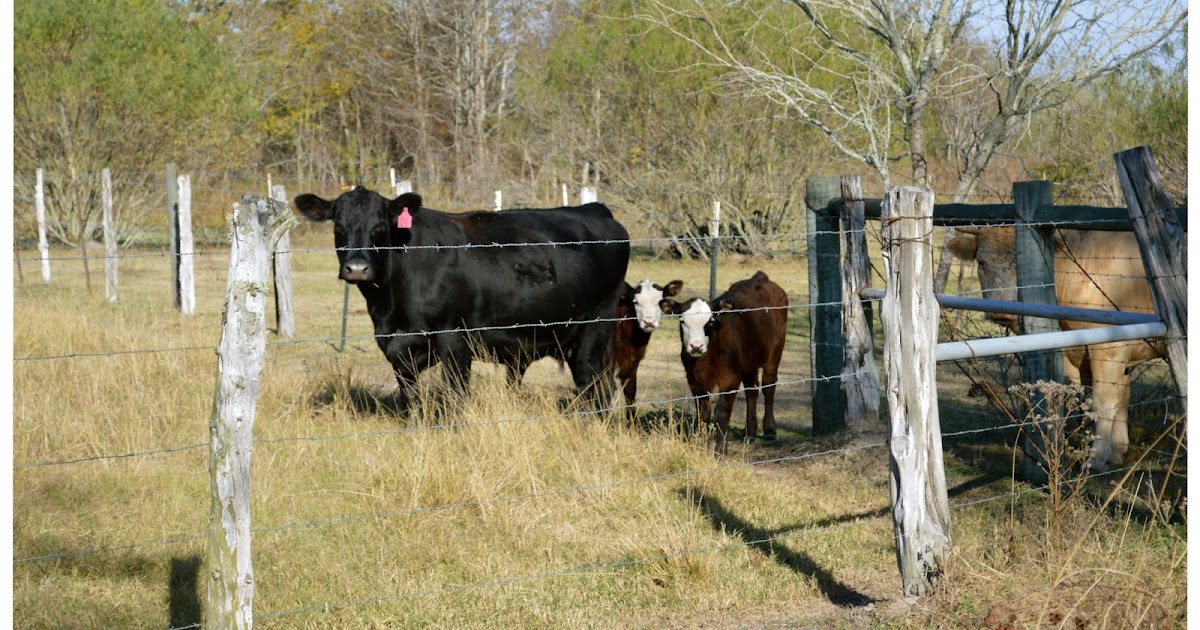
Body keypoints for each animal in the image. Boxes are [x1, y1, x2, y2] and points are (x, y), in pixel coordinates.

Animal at [293, 187, 630, 407]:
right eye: (338, 225)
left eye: (379, 225)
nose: (357, 268)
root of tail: (593, 209)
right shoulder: (397, 347)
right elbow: (411, 400)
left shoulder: (454, 340)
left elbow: (456, 398)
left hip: (596, 323)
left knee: (591, 381)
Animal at [612, 279, 684, 418]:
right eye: (635, 301)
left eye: (660, 302)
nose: (649, 323)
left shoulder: (632, 363)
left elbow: (630, 393)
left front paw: (632, 423)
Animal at [659, 271, 788, 453]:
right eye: (682, 321)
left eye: (711, 322)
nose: (696, 346)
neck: (705, 359)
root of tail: (760, 278)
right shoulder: (694, 380)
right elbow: (704, 412)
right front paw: (702, 442)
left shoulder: (730, 377)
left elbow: (722, 411)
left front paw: (720, 449)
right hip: (748, 362)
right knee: (751, 391)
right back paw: (750, 433)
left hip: (774, 351)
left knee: (769, 387)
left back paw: (769, 430)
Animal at [946, 227, 1165, 471]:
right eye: (982, 262)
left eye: (1019, 265)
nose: (1001, 312)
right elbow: (1115, 399)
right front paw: (1117, 452)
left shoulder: (1109, 348)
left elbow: (1104, 402)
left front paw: (1096, 458)